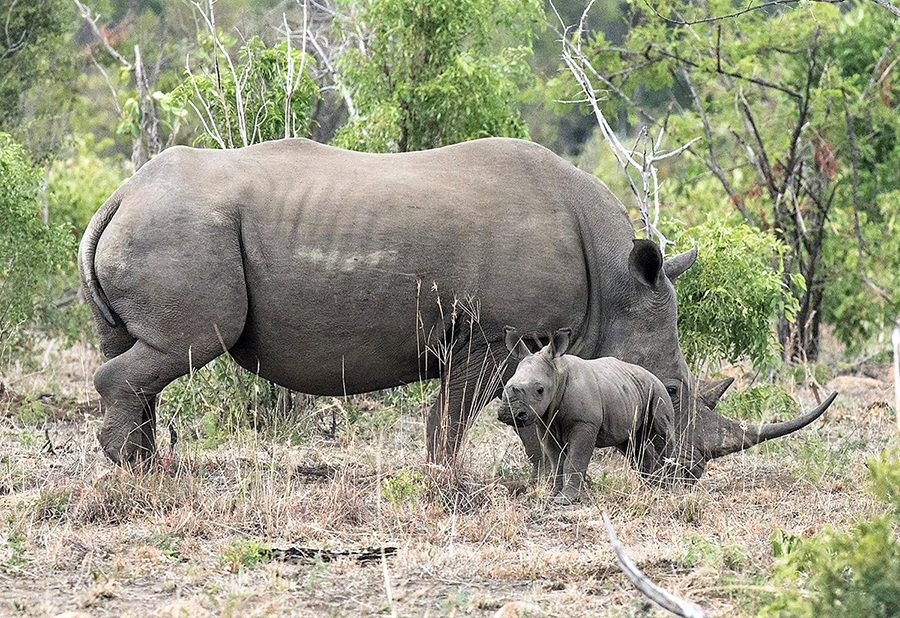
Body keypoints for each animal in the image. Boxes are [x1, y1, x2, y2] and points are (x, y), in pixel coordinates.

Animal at [79, 138, 836, 476]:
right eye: (674, 391)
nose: (687, 471)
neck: (618, 278)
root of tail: (118, 194)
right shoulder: (498, 336)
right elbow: (459, 415)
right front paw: (458, 485)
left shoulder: (511, 343)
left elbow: (493, 414)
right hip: (179, 230)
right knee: (179, 349)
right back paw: (142, 474)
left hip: (157, 226)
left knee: (137, 352)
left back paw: (145, 465)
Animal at [500, 328, 688, 500]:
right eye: (506, 386)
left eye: (540, 390)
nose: (510, 414)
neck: (558, 373)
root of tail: (654, 375)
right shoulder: (545, 423)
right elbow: (557, 461)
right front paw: (554, 496)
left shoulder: (584, 423)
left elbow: (575, 460)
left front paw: (566, 499)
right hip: (630, 391)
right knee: (630, 444)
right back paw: (650, 490)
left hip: (658, 391)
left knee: (663, 436)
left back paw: (673, 490)